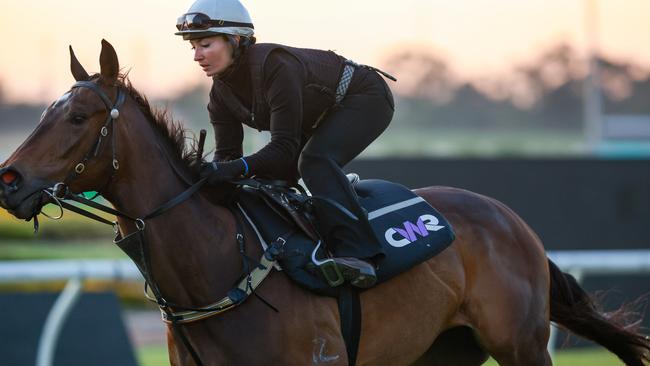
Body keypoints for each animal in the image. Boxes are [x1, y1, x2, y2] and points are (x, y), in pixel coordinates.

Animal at [0, 40, 644, 366]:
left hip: (522, 346)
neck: (222, 263)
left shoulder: (322, 359)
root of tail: (511, 220)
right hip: (442, 353)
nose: (8, 180)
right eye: (46, 110)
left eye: (79, 117)